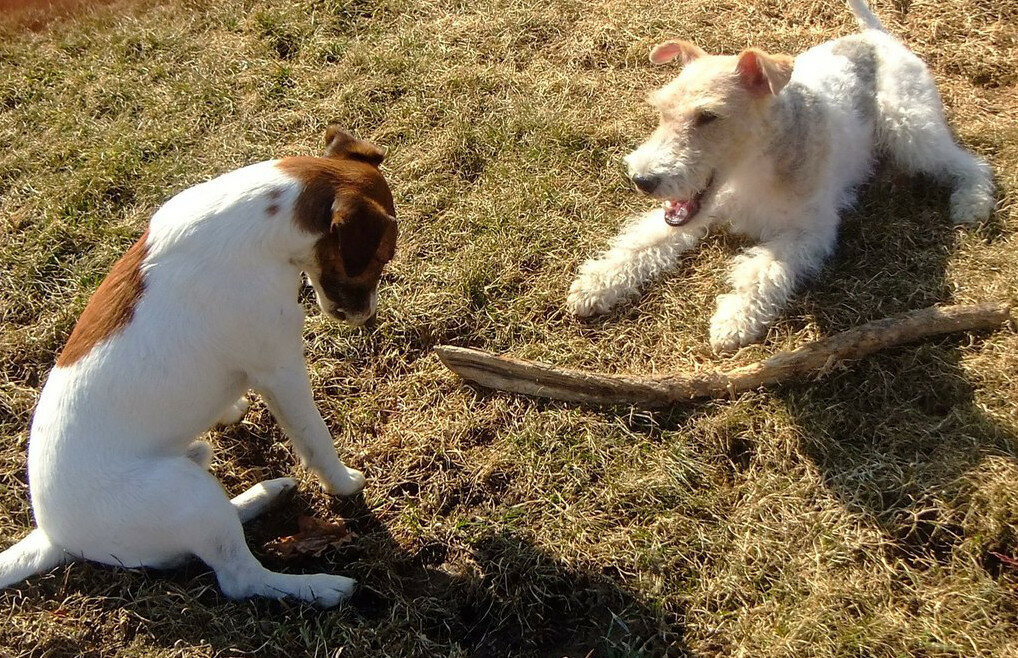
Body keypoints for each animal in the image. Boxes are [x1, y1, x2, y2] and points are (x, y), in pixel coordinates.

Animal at [0, 126, 397, 611]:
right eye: (380, 260)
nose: (367, 317)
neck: (261, 222)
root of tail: (54, 538)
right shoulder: (280, 368)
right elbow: (316, 439)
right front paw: (343, 483)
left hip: (196, 474)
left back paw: (265, 494)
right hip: (186, 496)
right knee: (240, 578)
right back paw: (321, 586)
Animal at [566, 0, 993, 352]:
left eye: (708, 116)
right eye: (661, 110)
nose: (642, 180)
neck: (754, 170)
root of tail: (876, 38)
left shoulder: (810, 232)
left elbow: (761, 270)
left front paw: (731, 322)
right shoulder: (698, 210)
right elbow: (642, 240)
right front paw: (594, 285)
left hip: (910, 128)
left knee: (972, 164)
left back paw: (972, 203)